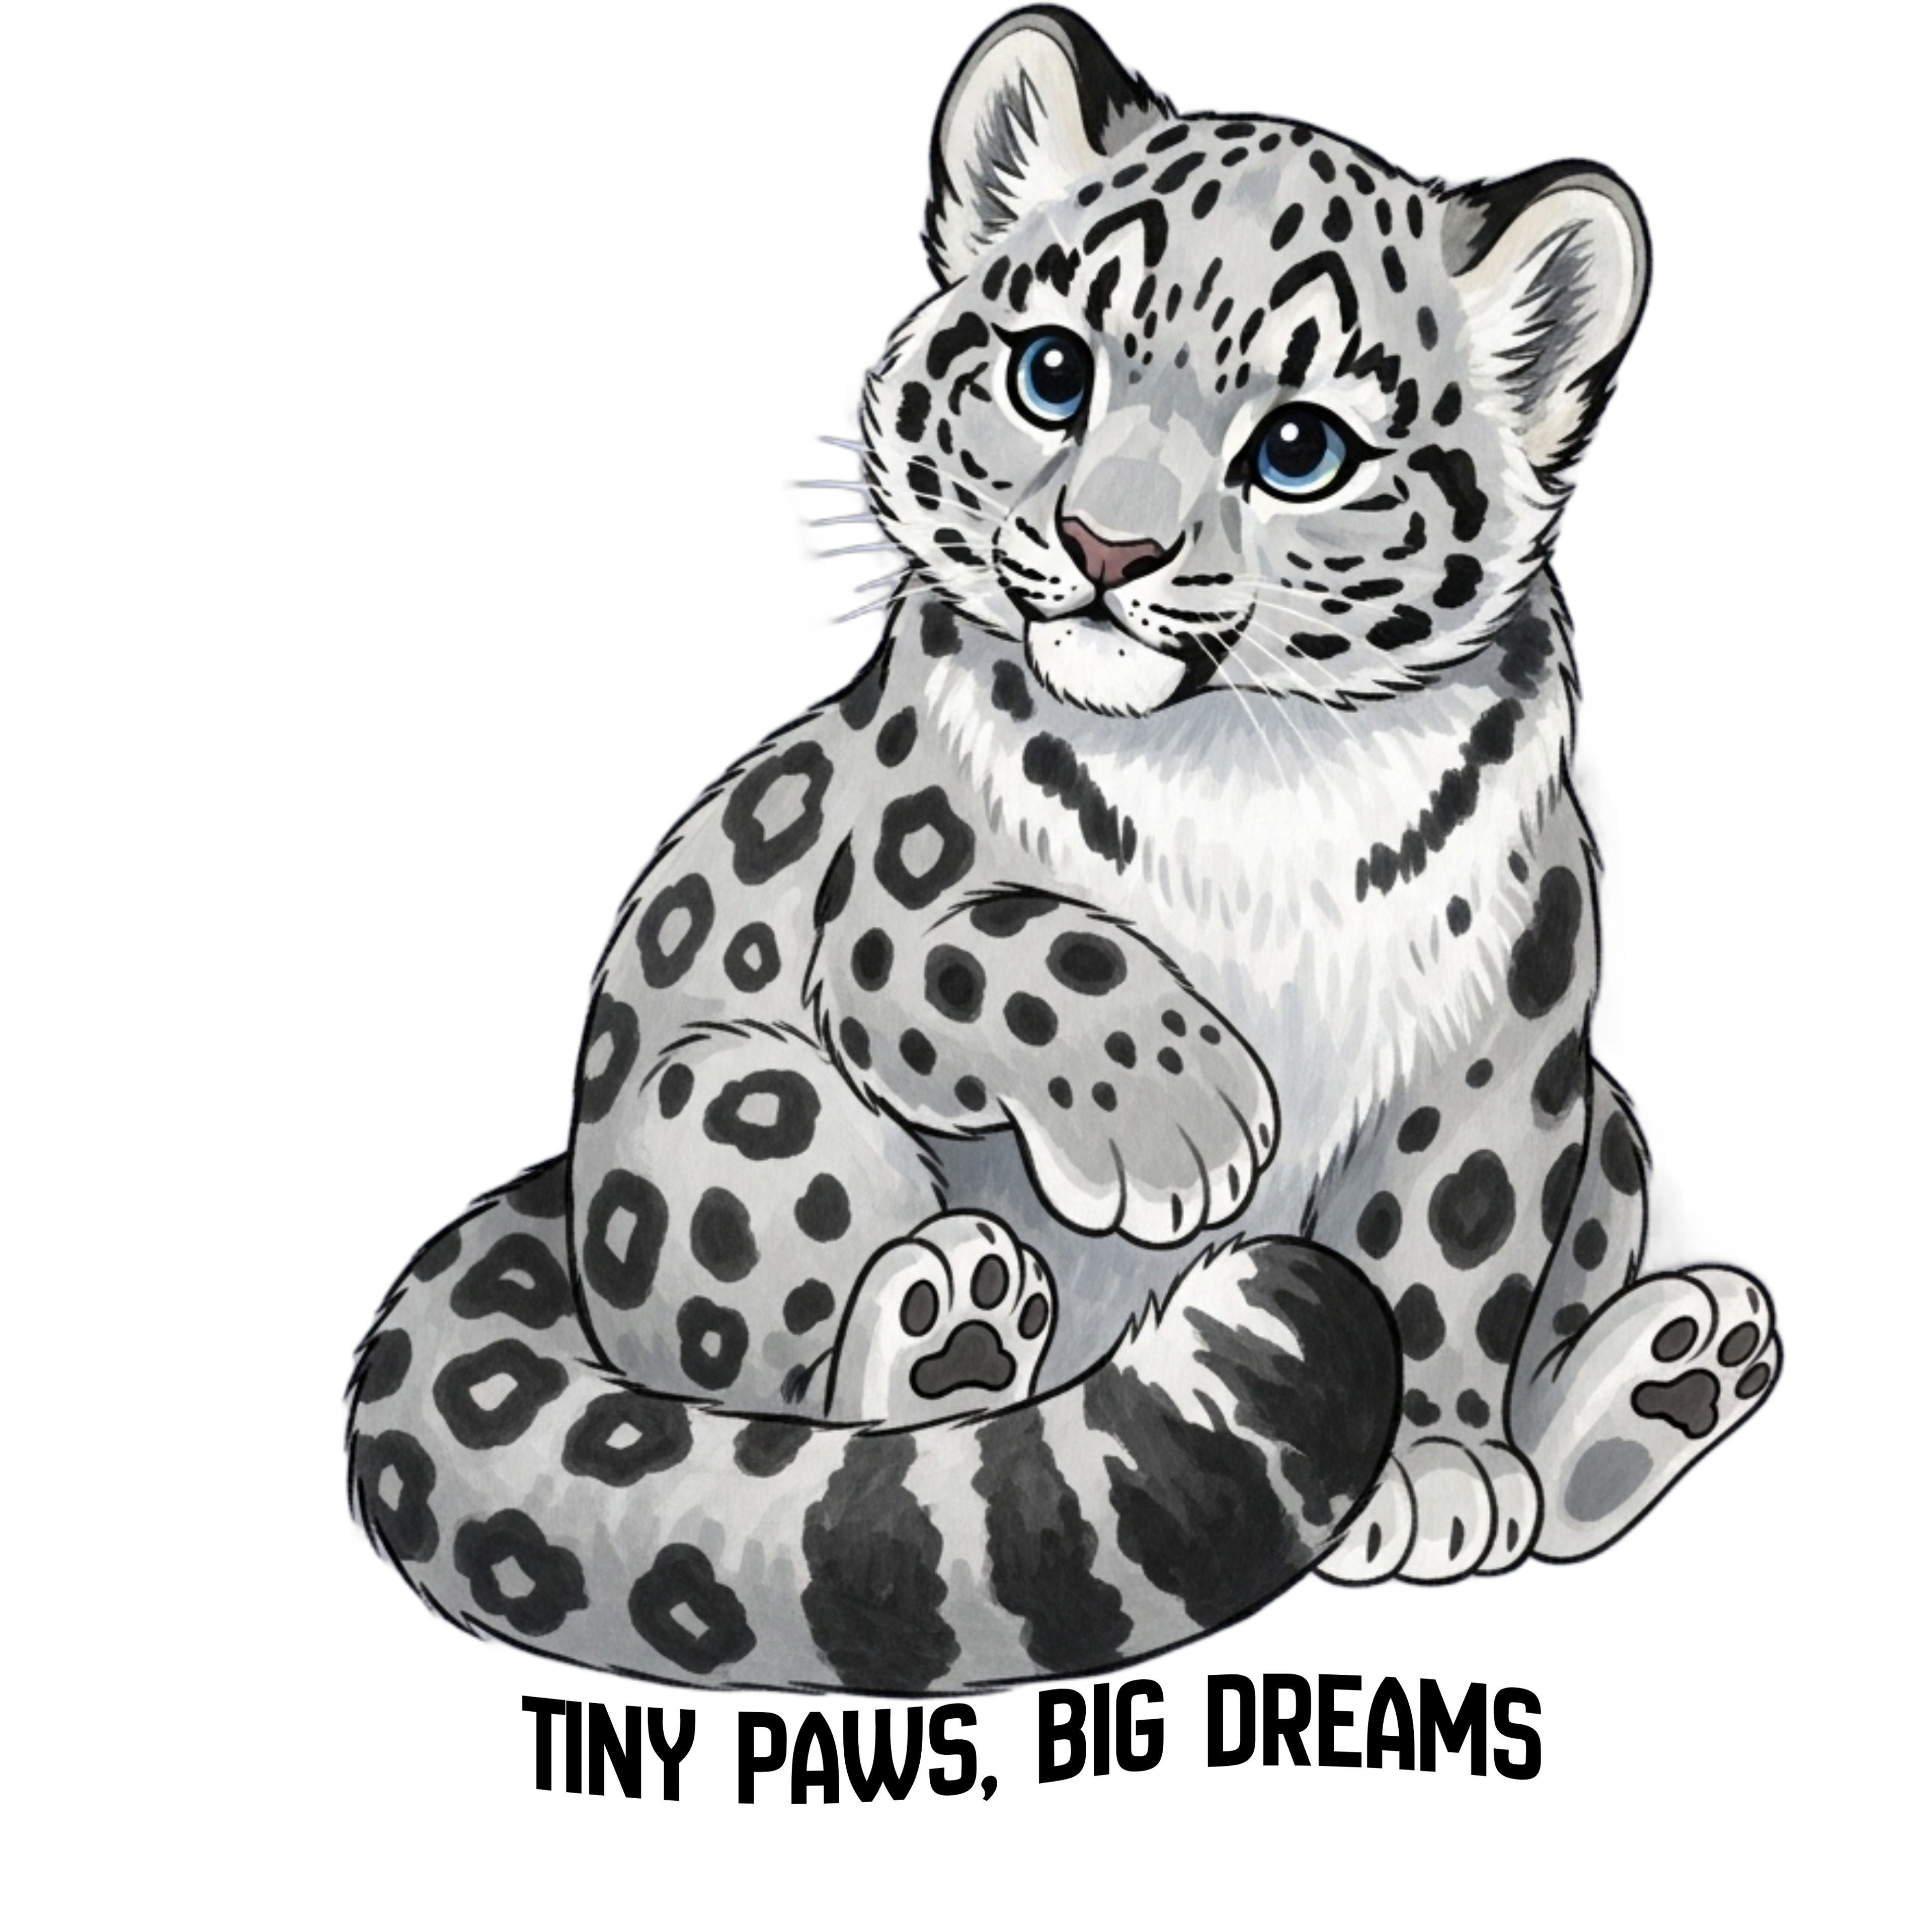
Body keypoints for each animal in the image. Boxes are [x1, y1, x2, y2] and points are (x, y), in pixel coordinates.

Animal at [344, 5, 1780, 1693]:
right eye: (1053, 371)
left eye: (1300, 447)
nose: (1108, 547)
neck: (1246, 761)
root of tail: (553, 1199)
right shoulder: (897, 907)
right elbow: (1026, 951)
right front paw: (1190, 1122)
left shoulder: (1506, 1035)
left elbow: (1450, 1244)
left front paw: (1431, 1465)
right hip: (740, 1100)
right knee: (775, 1393)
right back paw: (949, 1331)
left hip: (1611, 1123)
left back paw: (1662, 1375)